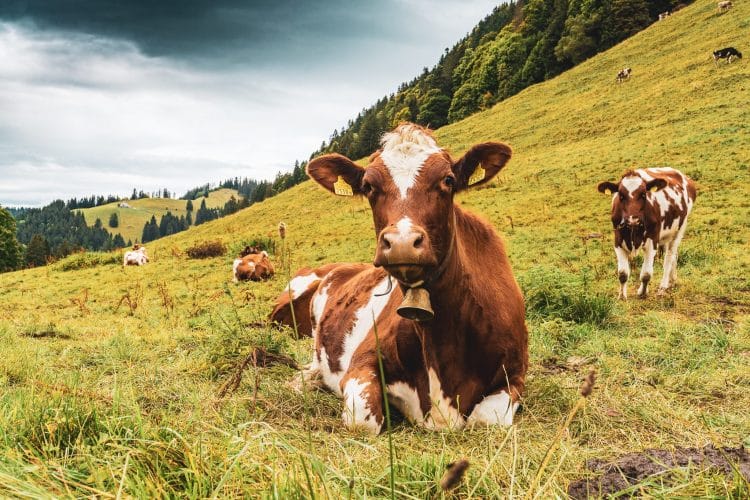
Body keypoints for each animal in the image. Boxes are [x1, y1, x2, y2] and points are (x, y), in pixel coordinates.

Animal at [272, 123, 528, 434]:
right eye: (369, 186)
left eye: (448, 180)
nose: (402, 242)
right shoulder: (361, 363)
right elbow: (363, 421)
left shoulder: (516, 373)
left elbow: (486, 419)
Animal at [597, 168, 696, 300]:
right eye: (621, 196)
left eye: (643, 194)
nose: (633, 220)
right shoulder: (617, 240)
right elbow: (623, 273)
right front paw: (622, 296)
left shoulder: (652, 241)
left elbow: (646, 274)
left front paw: (642, 293)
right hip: (666, 235)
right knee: (673, 256)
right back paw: (672, 281)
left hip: (680, 229)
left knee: (669, 257)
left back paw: (663, 287)